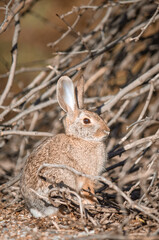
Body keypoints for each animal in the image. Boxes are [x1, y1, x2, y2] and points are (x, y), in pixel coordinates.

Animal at [20, 76, 110, 218]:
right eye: (86, 121)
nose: (107, 131)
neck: (81, 139)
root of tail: (37, 208)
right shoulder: (87, 176)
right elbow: (88, 191)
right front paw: (94, 204)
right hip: (63, 179)